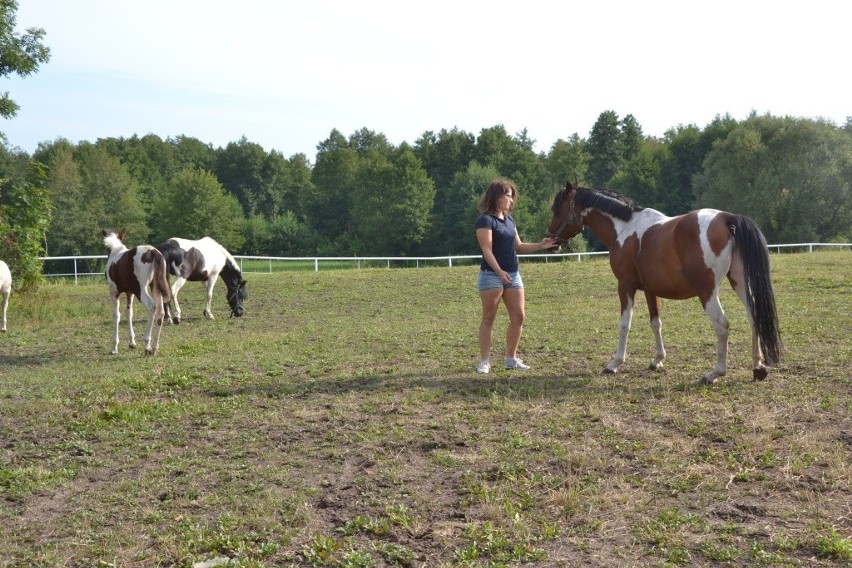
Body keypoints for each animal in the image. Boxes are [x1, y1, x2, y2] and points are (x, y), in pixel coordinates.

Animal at [548, 184, 784, 384]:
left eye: (557, 210)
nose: (550, 240)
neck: (625, 228)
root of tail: (727, 218)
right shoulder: (651, 290)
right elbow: (656, 323)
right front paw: (658, 360)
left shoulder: (625, 286)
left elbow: (625, 324)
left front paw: (614, 363)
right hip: (739, 283)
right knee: (754, 317)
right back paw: (758, 367)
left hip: (707, 292)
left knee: (722, 325)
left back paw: (715, 373)